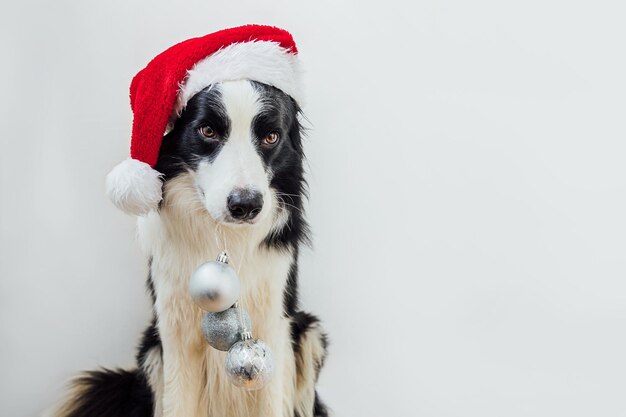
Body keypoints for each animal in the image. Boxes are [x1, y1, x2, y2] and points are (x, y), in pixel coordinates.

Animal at [55, 79, 330, 416]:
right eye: (208, 131)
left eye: (271, 137)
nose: (246, 206)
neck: (224, 239)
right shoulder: (173, 332)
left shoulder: (275, 322)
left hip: (309, 333)